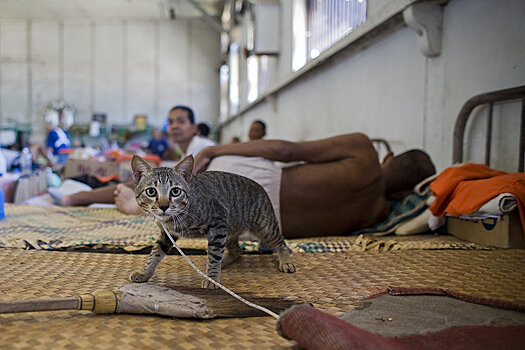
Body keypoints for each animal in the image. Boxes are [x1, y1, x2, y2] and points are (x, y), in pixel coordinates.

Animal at [127, 154, 294, 288]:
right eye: (151, 191)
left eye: (175, 191)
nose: (163, 206)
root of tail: (261, 187)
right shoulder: (167, 234)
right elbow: (155, 253)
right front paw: (145, 272)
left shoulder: (218, 224)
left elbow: (214, 254)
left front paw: (212, 277)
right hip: (230, 230)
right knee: (236, 250)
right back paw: (225, 261)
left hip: (264, 227)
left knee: (281, 242)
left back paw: (286, 261)